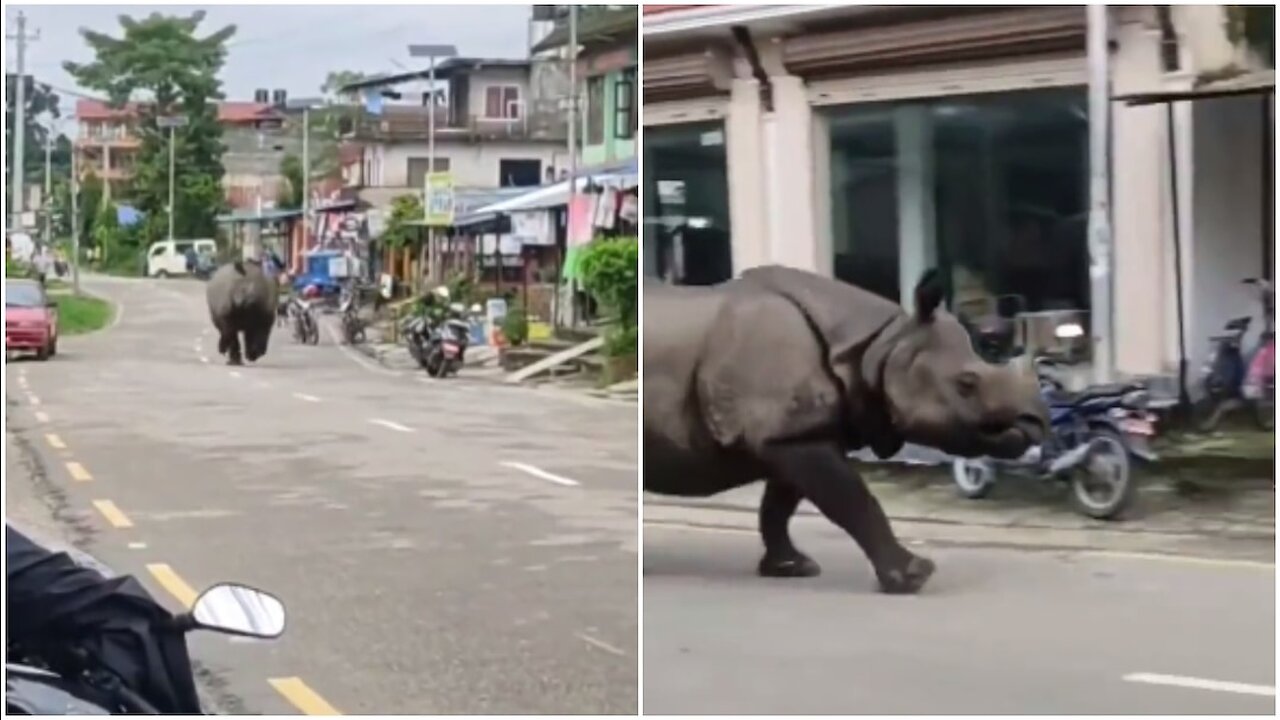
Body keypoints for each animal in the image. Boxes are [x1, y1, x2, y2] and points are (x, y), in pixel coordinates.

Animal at [645, 266, 1044, 591]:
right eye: (966, 383)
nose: (1035, 423)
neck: (881, 346)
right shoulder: (788, 434)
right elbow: (854, 499)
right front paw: (914, 577)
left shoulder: (796, 433)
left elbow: (779, 506)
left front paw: (792, 567)